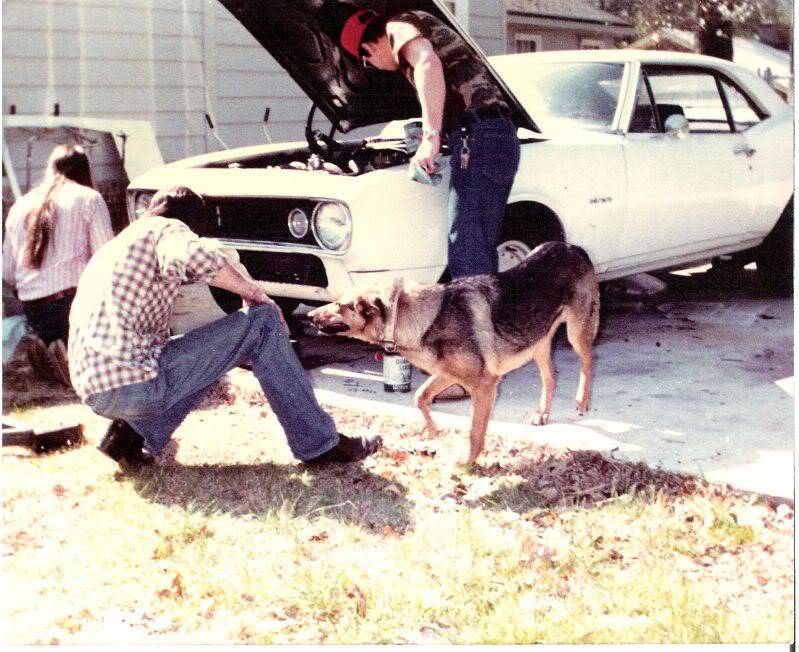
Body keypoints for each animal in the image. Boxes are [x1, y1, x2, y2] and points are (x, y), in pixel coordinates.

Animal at [308, 243, 600, 464]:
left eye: (339, 305)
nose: (309, 316)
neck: (413, 317)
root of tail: (572, 247)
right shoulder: (447, 375)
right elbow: (420, 397)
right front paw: (432, 430)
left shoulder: (484, 386)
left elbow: (474, 432)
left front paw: (467, 462)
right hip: (535, 343)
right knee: (551, 376)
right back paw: (542, 414)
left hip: (576, 333)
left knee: (588, 361)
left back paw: (583, 400)